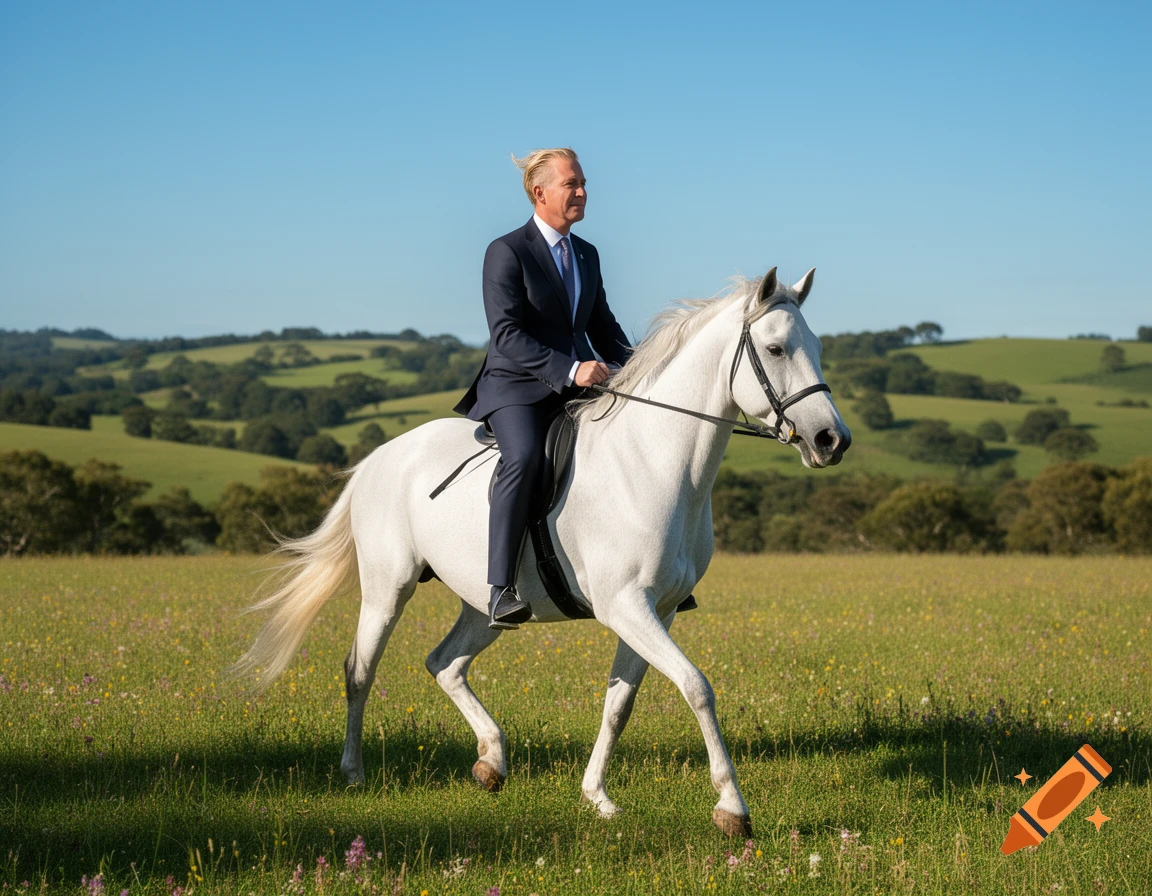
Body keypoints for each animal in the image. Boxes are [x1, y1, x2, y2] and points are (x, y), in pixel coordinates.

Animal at [232, 266, 851, 836]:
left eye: (819, 348)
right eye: (775, 348)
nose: (832, 441)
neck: (654, 462)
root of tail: (376, 459)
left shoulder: (659, 610)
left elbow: (619, 704)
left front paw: (596, 797)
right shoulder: (627, 606)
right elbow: (697, 687)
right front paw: (732, 808)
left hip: (485, 605)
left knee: (444, 663)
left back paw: (491, 761)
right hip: (389, 587)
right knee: (360, 669)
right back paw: (354, 773)